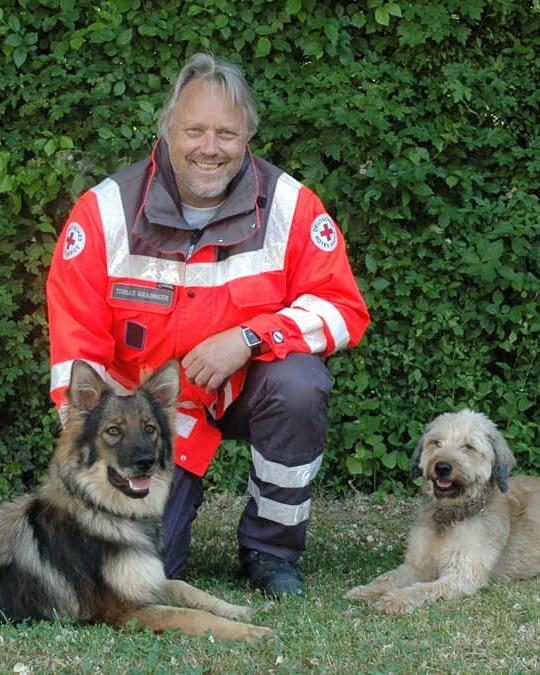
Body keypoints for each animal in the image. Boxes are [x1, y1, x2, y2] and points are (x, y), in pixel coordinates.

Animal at [0, 362, 270, 640]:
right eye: (113, 431)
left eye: (150, 429)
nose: (145, 462)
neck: (104, 509)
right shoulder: (124, 610)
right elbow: (192, 615)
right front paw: (250, 632)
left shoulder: (148, 582)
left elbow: (185, 587)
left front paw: (234, 609)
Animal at [346, 410, 540, 616]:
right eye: (436, 442)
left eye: (468, 446)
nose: (442, 467)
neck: (450, 514)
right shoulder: (418, 565)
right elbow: (389, 577)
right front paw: (366, 590)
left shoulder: (464, 575)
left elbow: (423, 588)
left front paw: (396, 599)